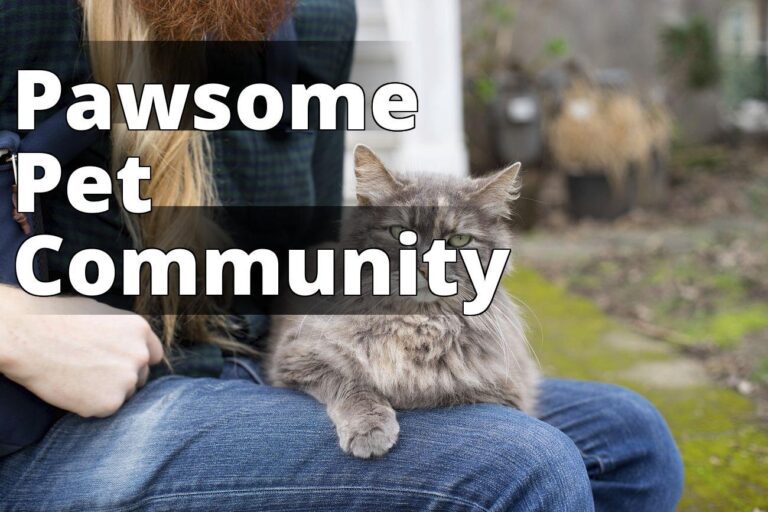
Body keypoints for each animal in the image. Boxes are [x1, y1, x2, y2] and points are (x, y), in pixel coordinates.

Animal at [266, 145, 540, 460]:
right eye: (400, 233)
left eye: (459, 240)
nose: (425, 268)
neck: (415, 323)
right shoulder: (298, 355)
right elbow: (353, 384)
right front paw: (369, 428)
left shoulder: (506, 391)